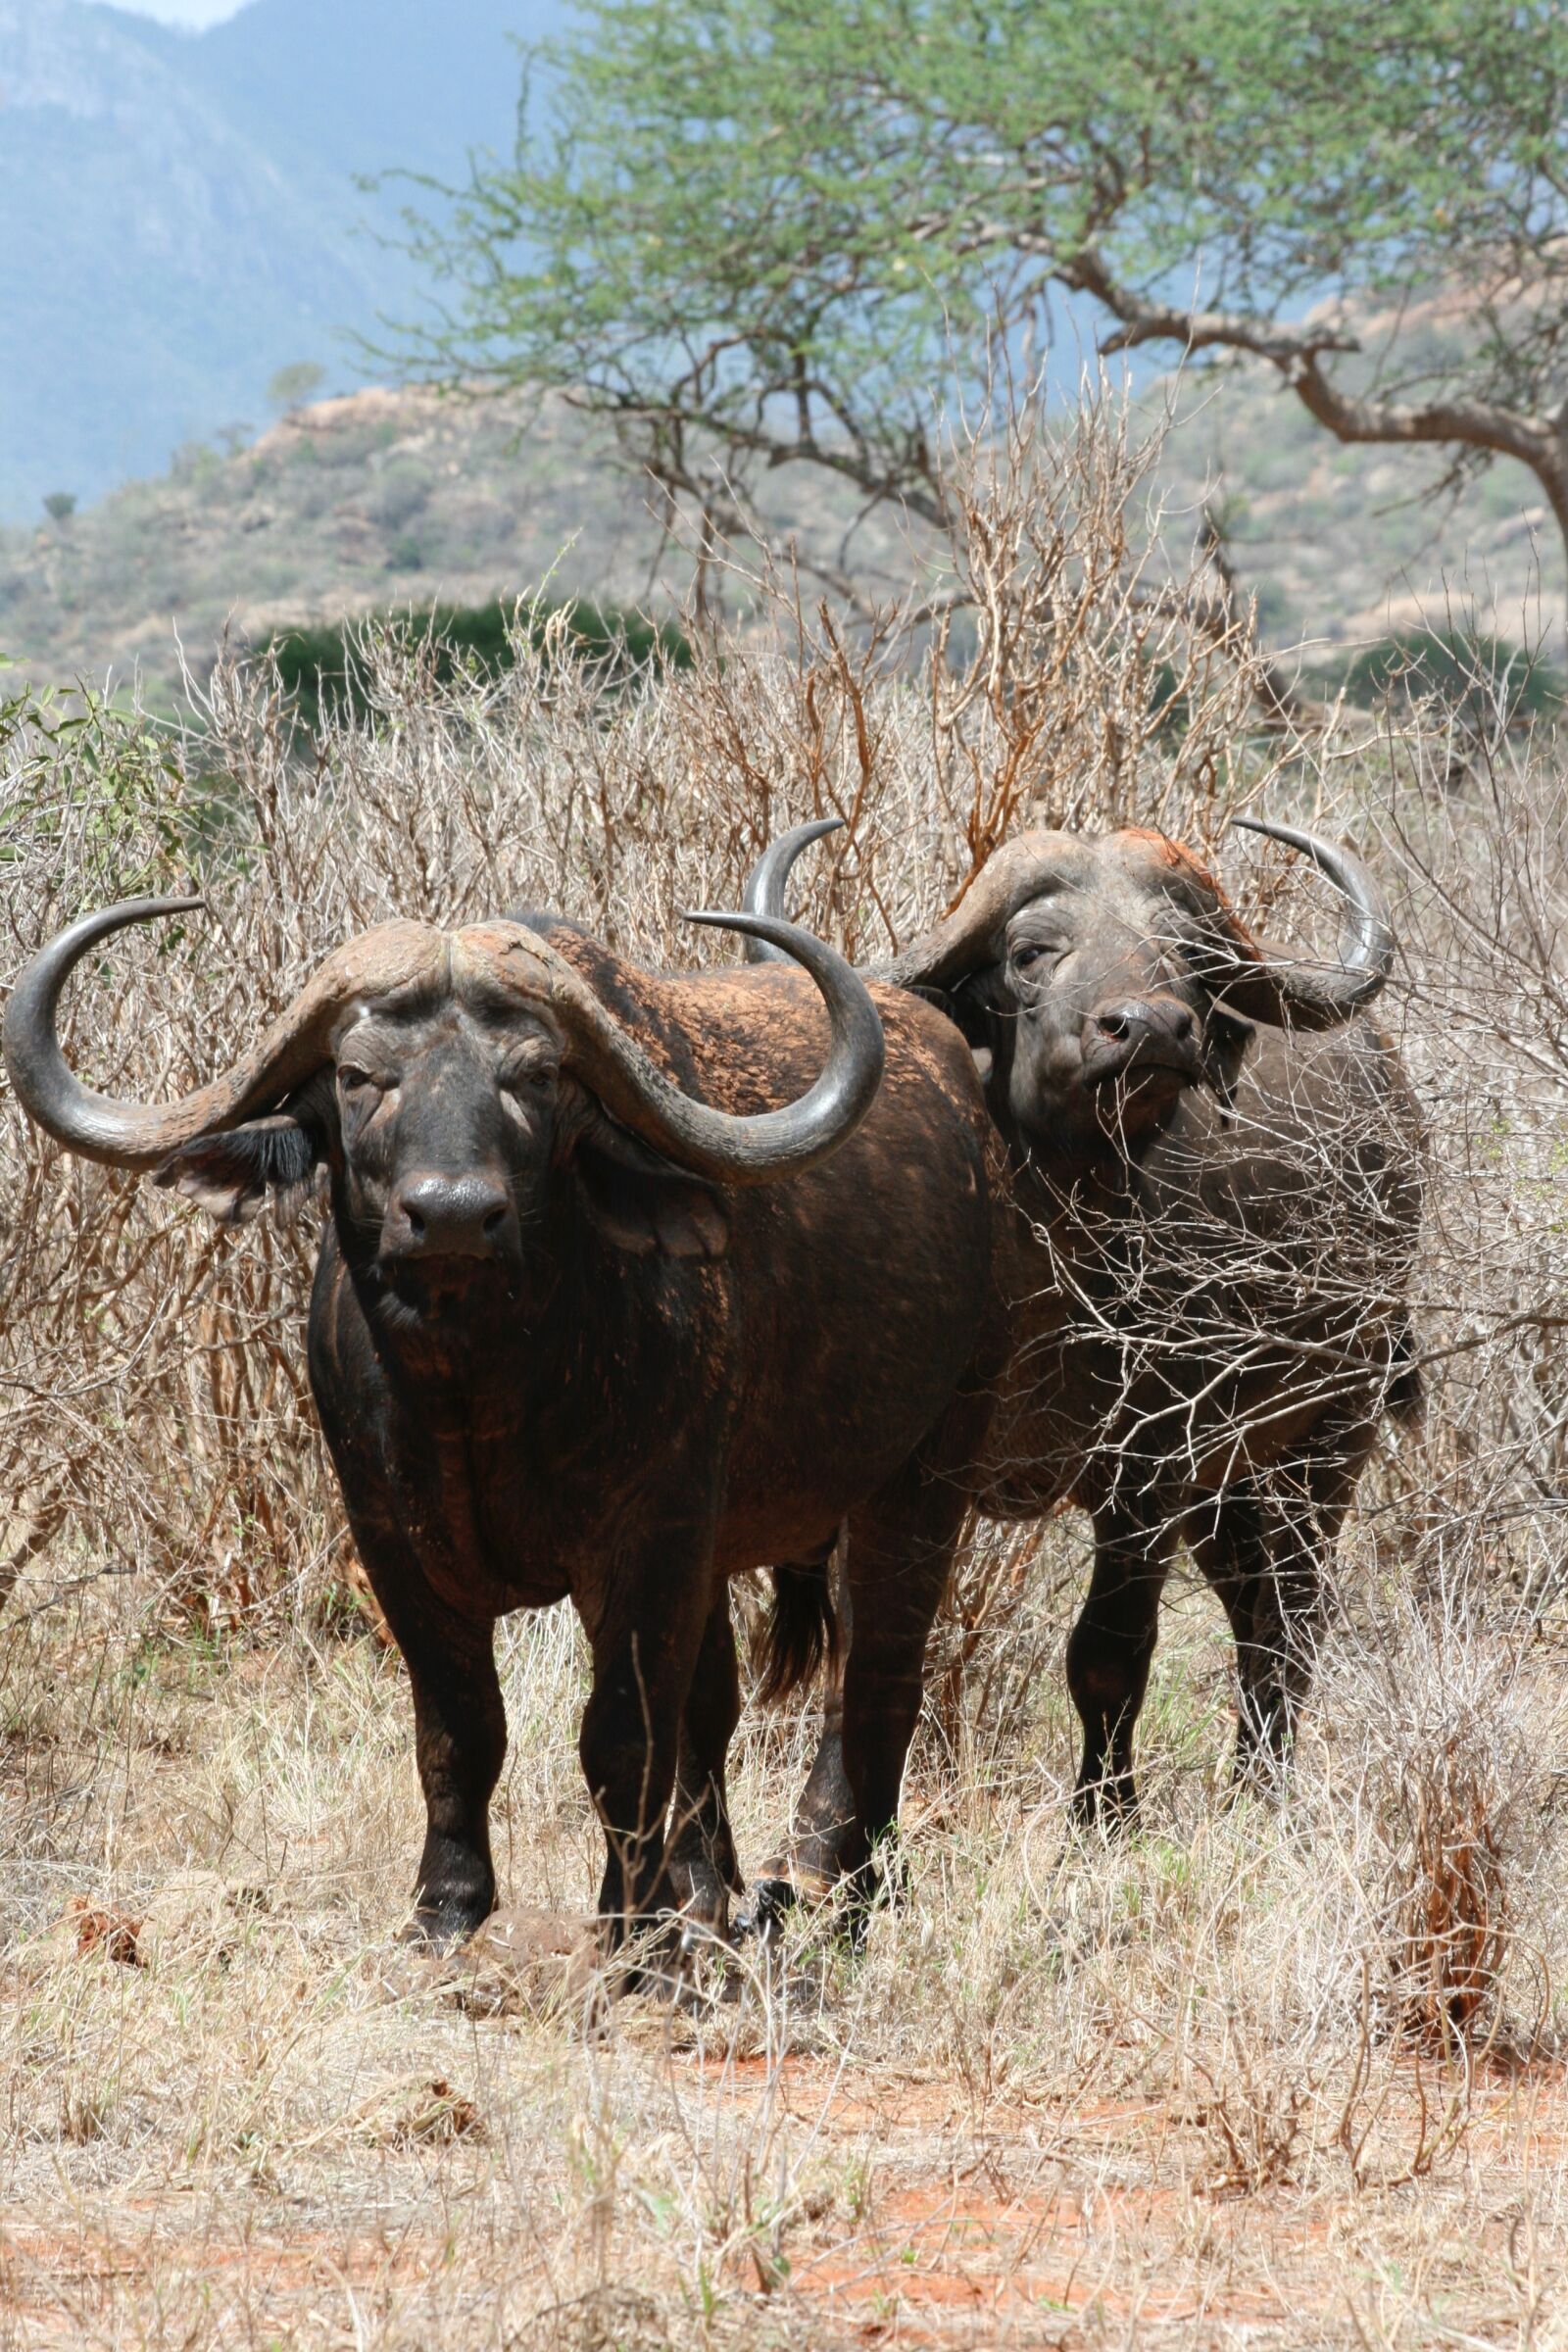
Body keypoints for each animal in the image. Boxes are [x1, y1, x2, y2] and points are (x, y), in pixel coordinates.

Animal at [5, 898, 1002, 1953]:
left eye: (533, 1077)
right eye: (358, 1077)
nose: (450, 1215)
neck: (479, 1392)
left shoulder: (650, 1543)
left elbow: (622, 1741)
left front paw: (630, 1927)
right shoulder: (392, 1542)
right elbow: (461, 1726)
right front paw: (449, 1907)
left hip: (923, 1484)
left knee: (877, 1685)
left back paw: (842, 1893)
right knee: (719, 1708)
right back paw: (710, 1893)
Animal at [742, 815, 1422, 1890]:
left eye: (1189, 959)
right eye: (1032, 951)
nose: (1148, 1030)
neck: (1059, 1258)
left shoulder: (1147, 1463)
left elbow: (1107, 1651)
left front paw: (1102, 1822)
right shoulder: (903, 1460)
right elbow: (874, 1649)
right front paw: (824, 1852)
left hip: (1329, 1429)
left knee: (1292, 1615)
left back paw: (1259, 1797)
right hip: (1228, 1486)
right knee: (1252, 1611)